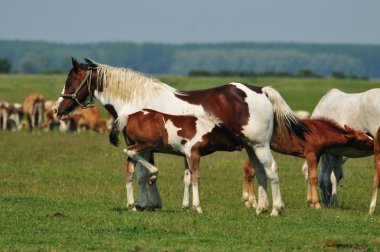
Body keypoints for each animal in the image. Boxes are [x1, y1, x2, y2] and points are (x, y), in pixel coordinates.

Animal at [108, 108, 242, 213]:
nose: (241, 146)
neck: (205, 129)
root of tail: (128, 117)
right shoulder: (194, 154)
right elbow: (195, 178)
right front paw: (197, 207)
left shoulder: (186, 156)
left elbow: (187, 180)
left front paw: (186, 207)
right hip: (147, 144)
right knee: (130, 152)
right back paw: (153, 174)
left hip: (141, 146)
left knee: (129, 172)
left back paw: (132, 206)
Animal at [243, 118, 374, 211]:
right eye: (364, 139)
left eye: (367, 135)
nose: (375, 143)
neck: (319, 132)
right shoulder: (311, 154)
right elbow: (314, 178)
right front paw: (316, 204)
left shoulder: (316, 156)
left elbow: (311, 177)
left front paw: (310, 203)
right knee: (250, 170)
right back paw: (251, 201)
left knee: (247, 169)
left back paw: (249, 200)